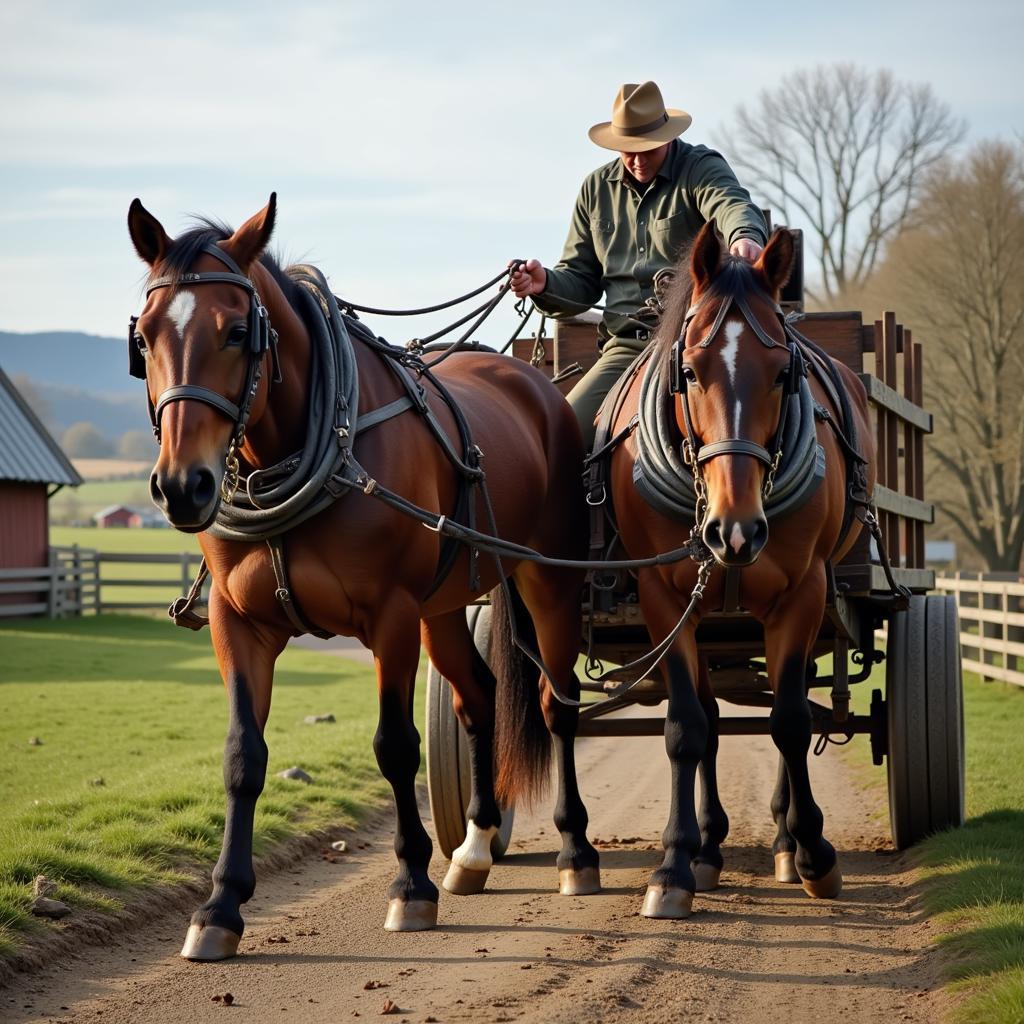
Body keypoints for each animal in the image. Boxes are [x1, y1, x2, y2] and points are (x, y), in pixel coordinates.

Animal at [125, 193, 598, 958]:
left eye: (237, 332)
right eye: (143, 338)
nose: (181, 486)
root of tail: (535, 382)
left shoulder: (391, 616)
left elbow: (395, 747)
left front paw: (410, 885)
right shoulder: (238, 623)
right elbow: (242, 756)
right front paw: (220, 906)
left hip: (546, 581)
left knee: (558, 704)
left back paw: (575, 852)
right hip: (445, 605)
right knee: (480, 698)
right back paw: (474, 847)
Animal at [602, 226, 876, 921]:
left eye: (782, 374)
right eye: (689, 372)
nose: (735, 530)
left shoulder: (804, 594)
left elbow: (790, 720)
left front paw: (814, 854)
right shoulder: (664, 601)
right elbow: (687, 727)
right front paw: (675, 864)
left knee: (788, 705)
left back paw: (782, 840)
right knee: (711, 717)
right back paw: (708, 846)